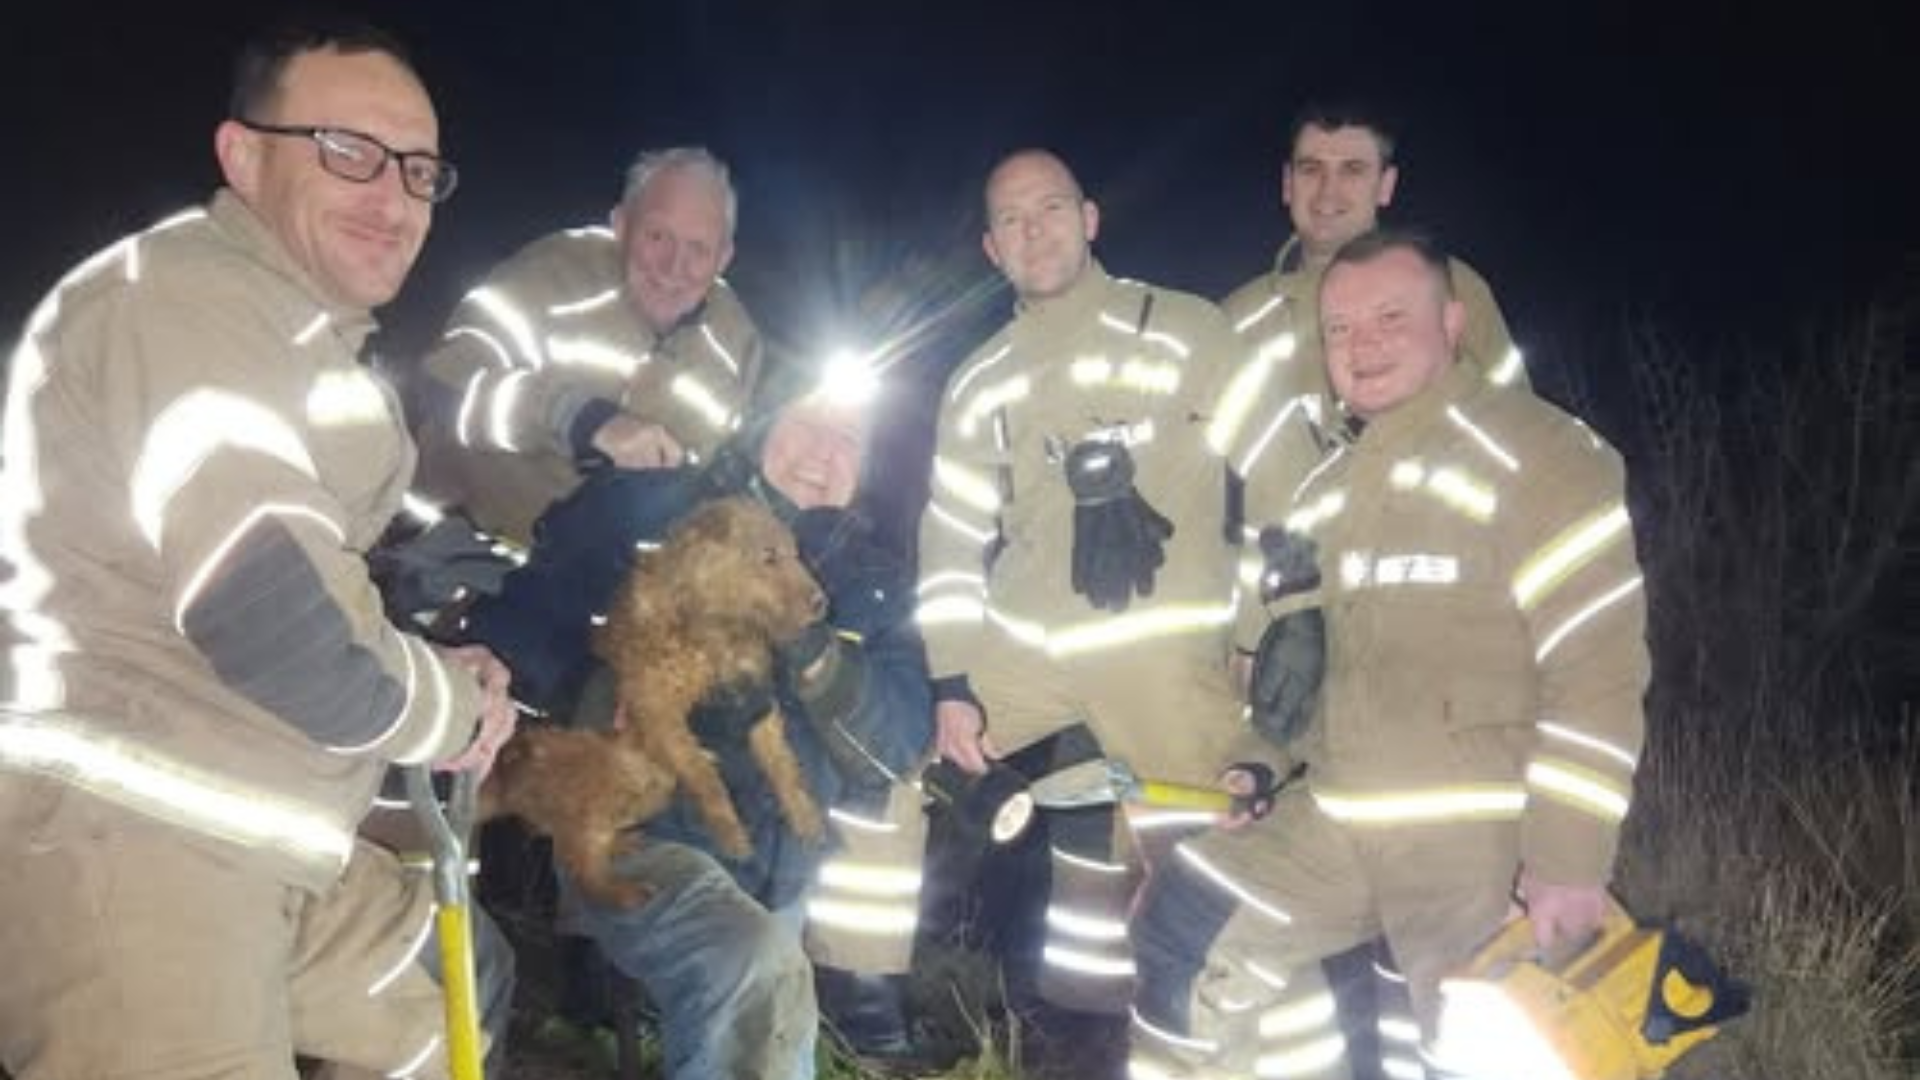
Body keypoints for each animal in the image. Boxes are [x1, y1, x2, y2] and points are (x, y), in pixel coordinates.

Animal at [480, 499, 825, 903]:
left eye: (798, 554)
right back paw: (625, 894)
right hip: (598, 791)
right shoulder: (658, 707)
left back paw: (623, 847)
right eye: (768, 556)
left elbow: (783, 765)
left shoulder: (756, 703)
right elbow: (705, 777)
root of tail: (511, 773)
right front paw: (731, 834)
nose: (822, 603)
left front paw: (805, 817)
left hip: (642, 792)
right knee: (579, 866)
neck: (720, 631)